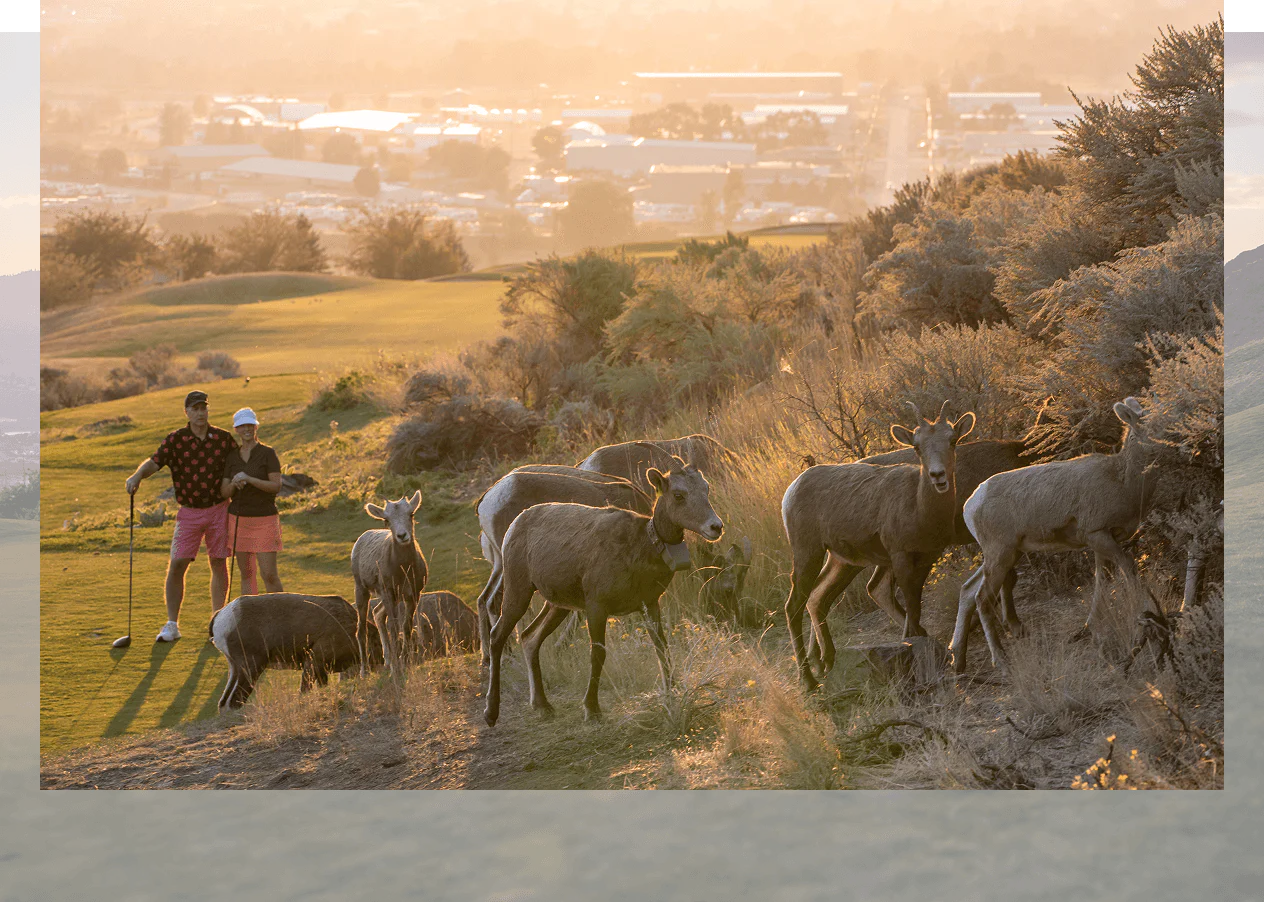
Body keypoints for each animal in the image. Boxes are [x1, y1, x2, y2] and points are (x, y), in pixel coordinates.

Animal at [208, 593, 381, 711]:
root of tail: (220, 617)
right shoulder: (313, 661)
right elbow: (304, 690)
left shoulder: (320, 670)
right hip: (252, 667)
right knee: (234, 702)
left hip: (235, 669)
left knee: (223, 703)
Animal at [351, 491, 428, 679]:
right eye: (386, 520)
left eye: (411, 514)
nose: (402, 536)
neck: (404, 569)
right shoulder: (388, 591)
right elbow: (394, 628)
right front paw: (397, 667)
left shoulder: (412, 594)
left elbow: (406, 626)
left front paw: (404, 661)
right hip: (362, 589)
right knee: (361, 628)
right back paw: (365, 671)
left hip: (392, 597)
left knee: (378, 613)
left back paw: (387, 661)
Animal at [782, 401, 975, 691]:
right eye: (917, 446)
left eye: (952, 440)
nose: (938, 475)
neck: (919, 508)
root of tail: (791, 489)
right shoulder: (901, 558)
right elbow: (912, 611)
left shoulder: (927, 559)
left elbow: (913, 612)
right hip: (808, 553)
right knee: (794, 606)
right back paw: (809, 681)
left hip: (843, 563)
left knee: (817, 598)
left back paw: (827, 661)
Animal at [951, 397, 1169, 673]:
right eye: (1150, 423)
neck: (1123, 481)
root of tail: (970, 505)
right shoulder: (1098, 535)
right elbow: (1129, 572)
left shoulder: (1103, 542)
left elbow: (1101, 582)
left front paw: (1086, 630)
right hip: (1000, 555)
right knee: (982, 598)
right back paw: (1001, 662)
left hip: (1008, 554)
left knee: (968, 591)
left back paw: (958, 660)